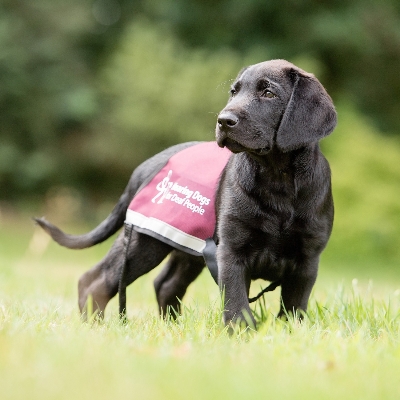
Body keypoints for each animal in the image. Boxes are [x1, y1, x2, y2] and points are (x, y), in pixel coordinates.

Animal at [34, 60, 336, 328]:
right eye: (234, 92)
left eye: (269, 93)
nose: (224, 120)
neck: (277, 180)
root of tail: (144, 167)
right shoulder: (232, 252)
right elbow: (237, 304)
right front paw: (241, 335)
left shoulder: (307, 260)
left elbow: (293, 308)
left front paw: (288, 333)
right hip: (143, 241)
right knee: (94, 281)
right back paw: (94, 327)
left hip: (187, 247)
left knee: (165, 284)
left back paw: (171, 327)